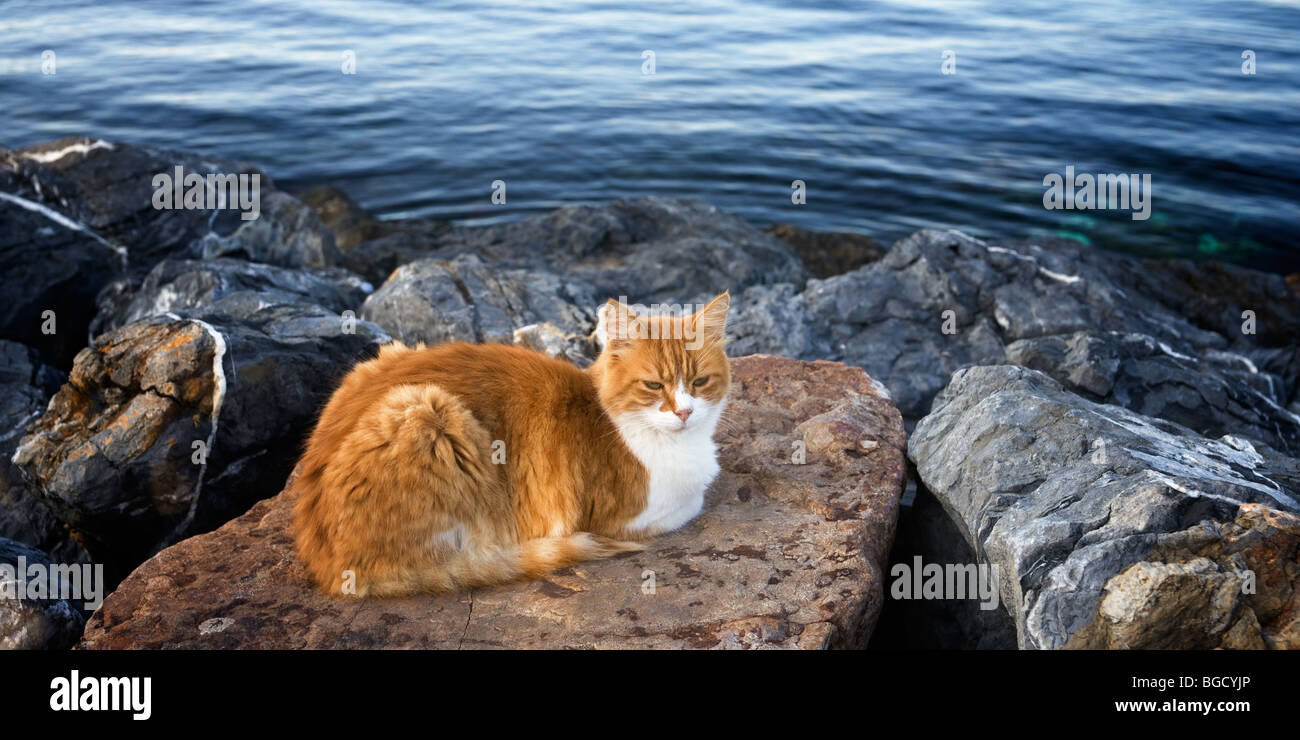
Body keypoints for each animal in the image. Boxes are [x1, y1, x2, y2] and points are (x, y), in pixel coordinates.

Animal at [293, 288, 733, 595]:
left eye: (699, 382)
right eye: (654, 385)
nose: (684, 412)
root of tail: (325, 564)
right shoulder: (627, 516)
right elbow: (692, 503)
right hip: (428, 412)